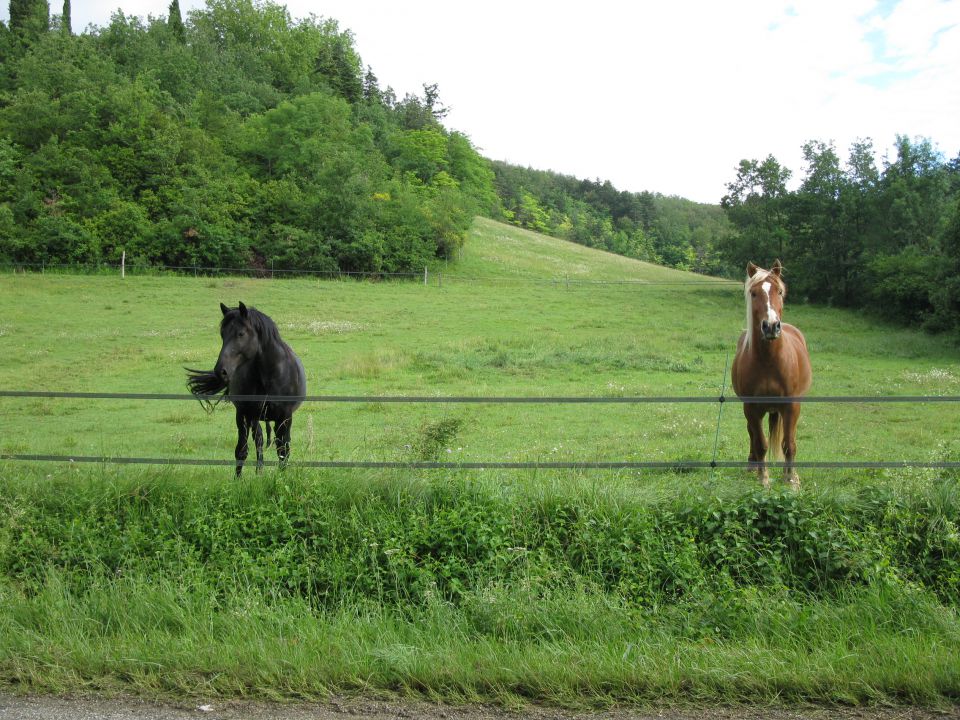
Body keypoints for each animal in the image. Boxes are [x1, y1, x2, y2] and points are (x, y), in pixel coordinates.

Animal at [186, 300, 306, 476]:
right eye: (222, 334)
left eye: (240, 334)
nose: (221, 371)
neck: (269, 377)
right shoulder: (243, 414)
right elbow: (241, 451)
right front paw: (238, 479)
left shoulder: (285, 417)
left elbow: (283, 450)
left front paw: (281, 476)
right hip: (254, 418)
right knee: (259, 440)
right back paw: (259, 470)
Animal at [732, 262, 812, 486]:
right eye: (753, 293)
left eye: (780, 291)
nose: (771, 326)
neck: (769, 361)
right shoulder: (751, 407)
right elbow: (760, 443)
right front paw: (763, 479)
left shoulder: (791, 406)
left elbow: (789, 444)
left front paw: (791, 480)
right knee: (752, 434)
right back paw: (752, 465)